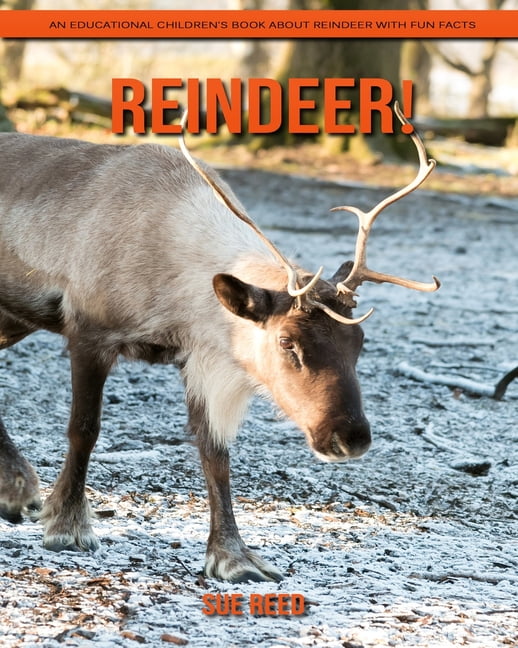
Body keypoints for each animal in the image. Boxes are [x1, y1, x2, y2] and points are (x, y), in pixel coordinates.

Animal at [0, 103, 439, 582]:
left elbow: (215, 454)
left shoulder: (201, 358)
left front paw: (233, 556)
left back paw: (17, 489)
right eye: (287, 342)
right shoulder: (89, 332)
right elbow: (84, 429)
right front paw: (67, 525)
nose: (351, 437)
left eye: (359, 341)